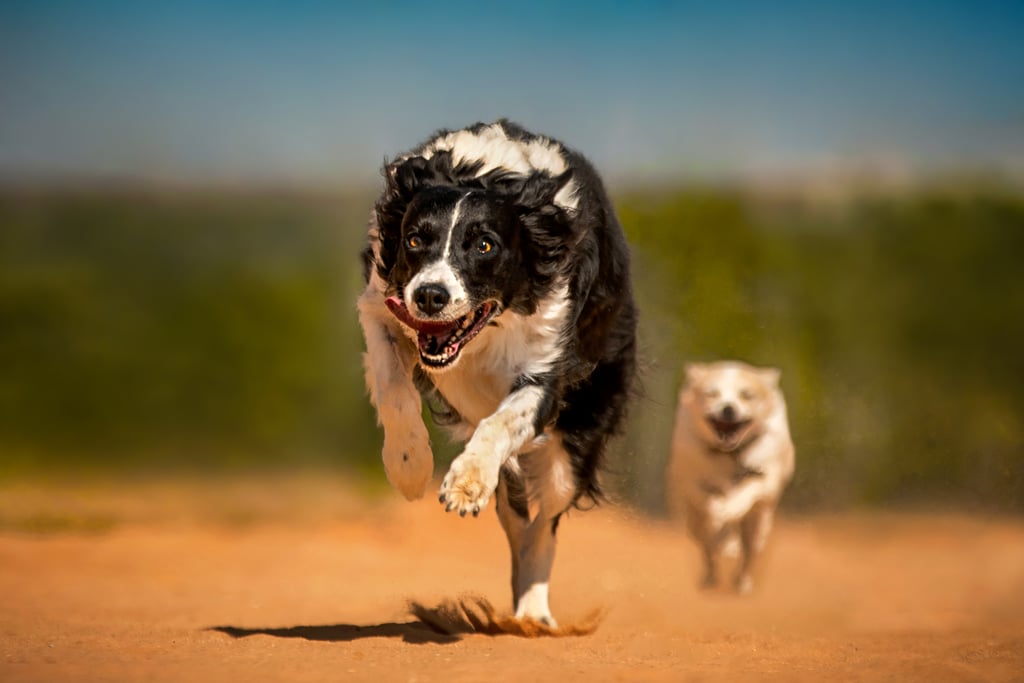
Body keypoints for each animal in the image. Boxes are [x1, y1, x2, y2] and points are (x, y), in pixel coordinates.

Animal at [358, 121, 630, 626]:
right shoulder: (381, 309)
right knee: (516, 517)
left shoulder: (548, 363)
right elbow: (395, 391)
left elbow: (502, 422)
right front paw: (409, 467)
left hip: (577, 436)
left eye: (484, 244)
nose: (429, 296)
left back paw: (533, 615)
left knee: (545, 524)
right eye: (414, 240)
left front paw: (465, 486)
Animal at [667, 362, 794, 593]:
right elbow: (708, 502)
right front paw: (719, 514)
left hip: (758, 526)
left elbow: (748, 490)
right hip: (693, 522)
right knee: (708, 546)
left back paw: (741, 581)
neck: (729, 455)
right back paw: (711, 574)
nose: (728, 408)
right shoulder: (693, 482)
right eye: (711, 394)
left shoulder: (766, 479)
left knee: (747, 551)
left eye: (747, 395)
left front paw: (730, 508)